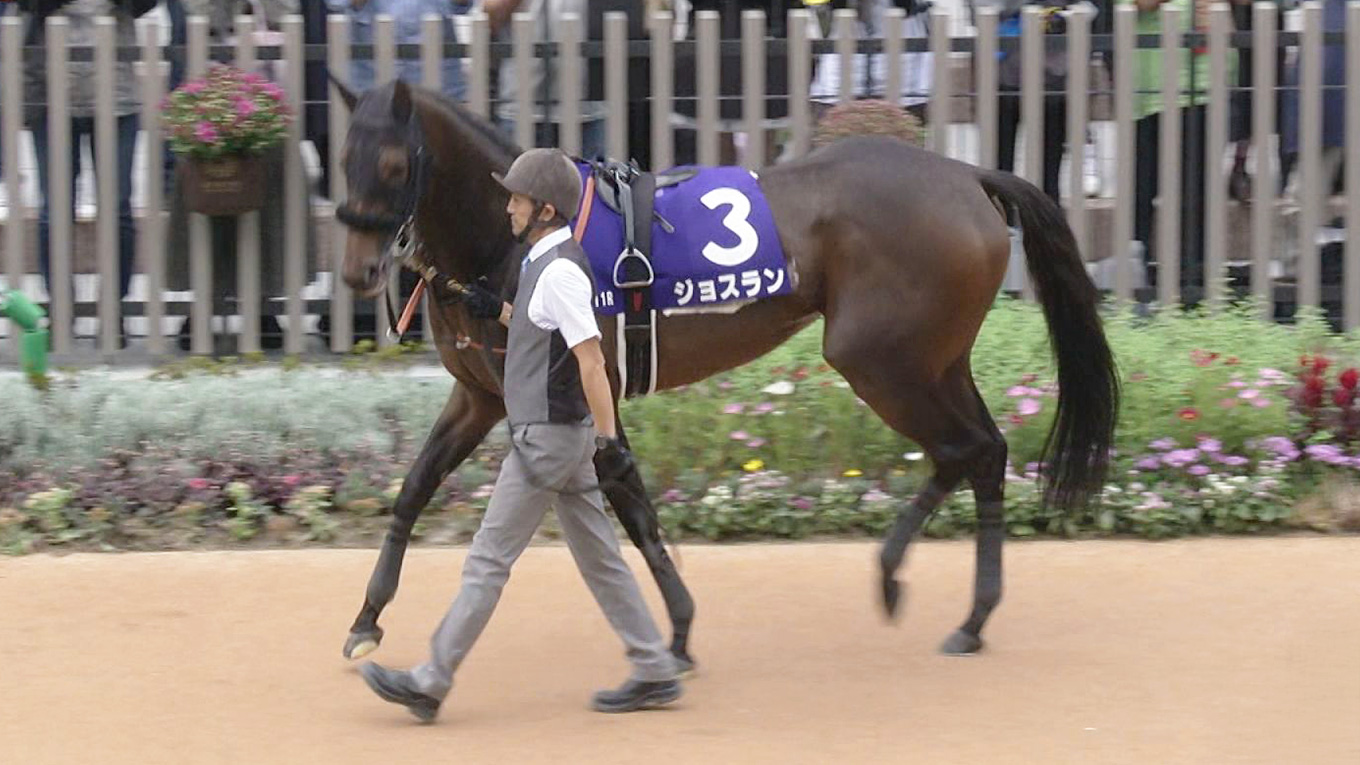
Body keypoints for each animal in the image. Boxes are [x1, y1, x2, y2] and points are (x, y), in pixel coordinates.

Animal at [329, 78, 1119, 668]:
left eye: (394, 166)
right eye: (341, 162)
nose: (358, 273)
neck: (513, 241)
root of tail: (968, 174)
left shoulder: (583, 386)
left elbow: (631, 502)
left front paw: (678, 630)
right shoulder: (482, 395)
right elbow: (413, 488)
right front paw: (366, 617)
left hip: (881, 360)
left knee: (964, 449)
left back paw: (899, 577)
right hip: (936, 359)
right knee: (985, 451)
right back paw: (972, 616)